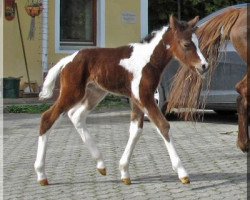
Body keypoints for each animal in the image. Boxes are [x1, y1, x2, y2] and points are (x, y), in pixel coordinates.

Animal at [34, 15, 208, 186]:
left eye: (198, 43)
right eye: (186, 44)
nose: (204, 65)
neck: (148, 59)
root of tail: (68, 59)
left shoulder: (138, 99)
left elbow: (136, 131)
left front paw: (124, 172)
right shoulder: (144, 97)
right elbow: (163, 125)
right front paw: (182, 172)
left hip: (95, 93)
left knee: (76, 116)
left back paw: (101, 164)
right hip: (72, 92)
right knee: (47, 118)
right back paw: (41, 174)